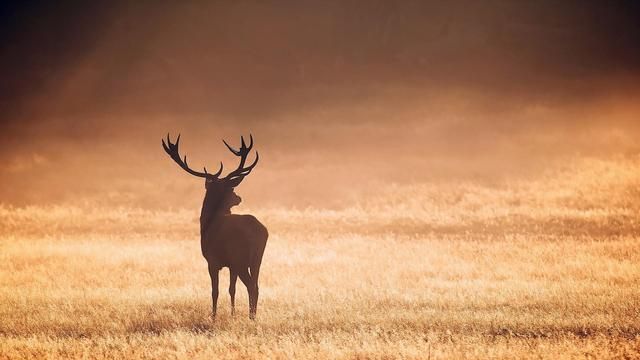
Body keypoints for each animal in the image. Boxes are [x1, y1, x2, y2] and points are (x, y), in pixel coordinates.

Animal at [164, 134, 268, 320]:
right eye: (231, 189)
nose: (238, 198)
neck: (207, 223)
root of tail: (261, 231)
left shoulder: (212, 261)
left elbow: (215, 291)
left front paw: (213, 317)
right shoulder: (231, 265)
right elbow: (232, 289)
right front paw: (233, 314)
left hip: (240, 258)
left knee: (251, 286)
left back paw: (251, 317)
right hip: (257, 258)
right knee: (256, 285)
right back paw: (253, 316)